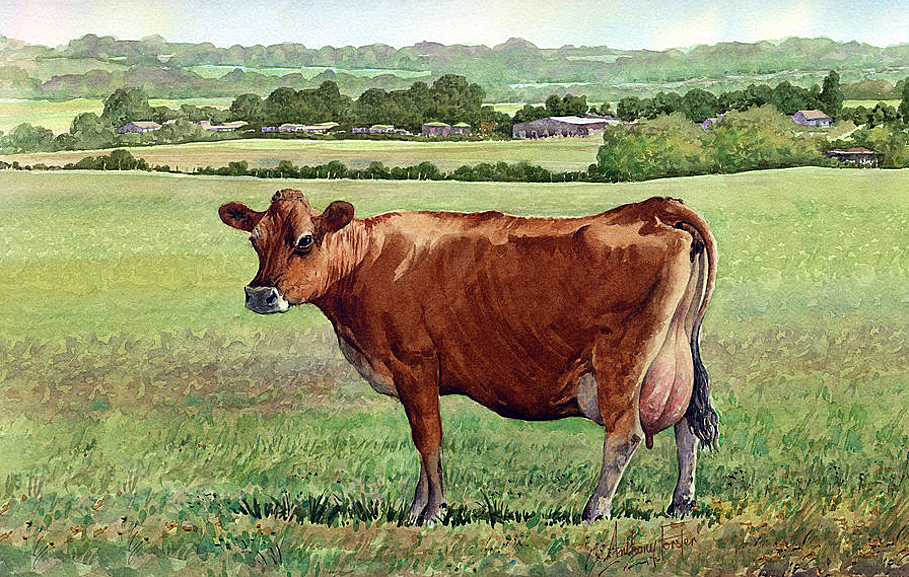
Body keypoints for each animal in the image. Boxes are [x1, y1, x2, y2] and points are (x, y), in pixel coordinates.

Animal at [218, 189, 718, 524]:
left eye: (304, 240)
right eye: (254, 240)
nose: (259, 294)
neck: (365, 261)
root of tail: (654, 208)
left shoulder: (414, 364)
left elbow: (428, 439)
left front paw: (431, 513)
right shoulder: (415, 377)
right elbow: (425, 443)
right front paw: (417, 508)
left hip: (622, 360)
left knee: (625, 434)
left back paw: (594, 510)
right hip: (670, 356)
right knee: (685, 426)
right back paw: (680, 504)